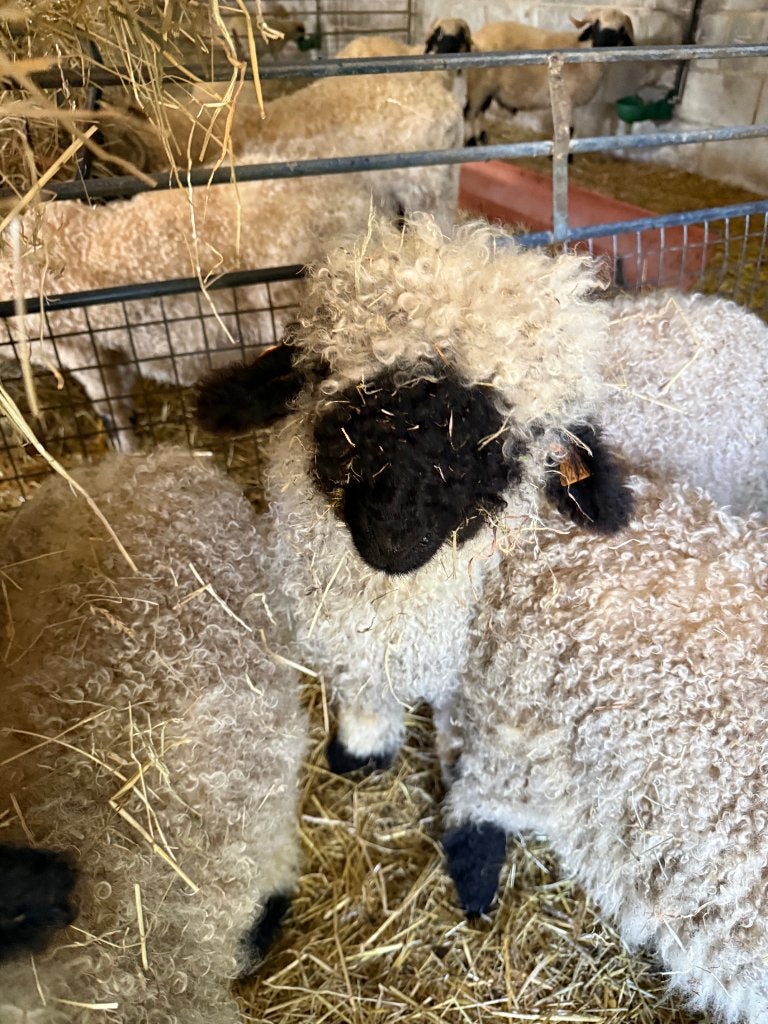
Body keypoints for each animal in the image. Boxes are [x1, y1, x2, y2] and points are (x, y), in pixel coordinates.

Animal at [460, 7, 634, 145]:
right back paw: (471, 142)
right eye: (597, 24)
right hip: (479, 87)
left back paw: (481, 138)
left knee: (478, 113)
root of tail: (477, 37)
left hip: (487, 89)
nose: (602, 47)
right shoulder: (566, 100)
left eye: (621, 30)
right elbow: (568, 131)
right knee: (469, 113)